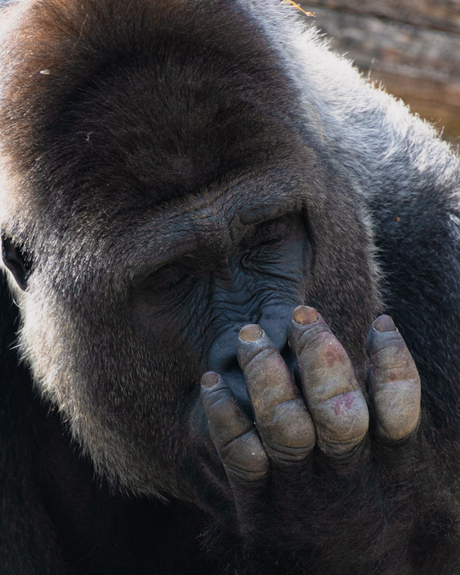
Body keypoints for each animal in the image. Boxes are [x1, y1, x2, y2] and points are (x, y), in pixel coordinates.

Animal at [0, 0, 460, 572]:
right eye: (171, 276)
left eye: (267, 234)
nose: (274, 346)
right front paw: (329, 505)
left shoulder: (433, 240)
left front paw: (337, 509)